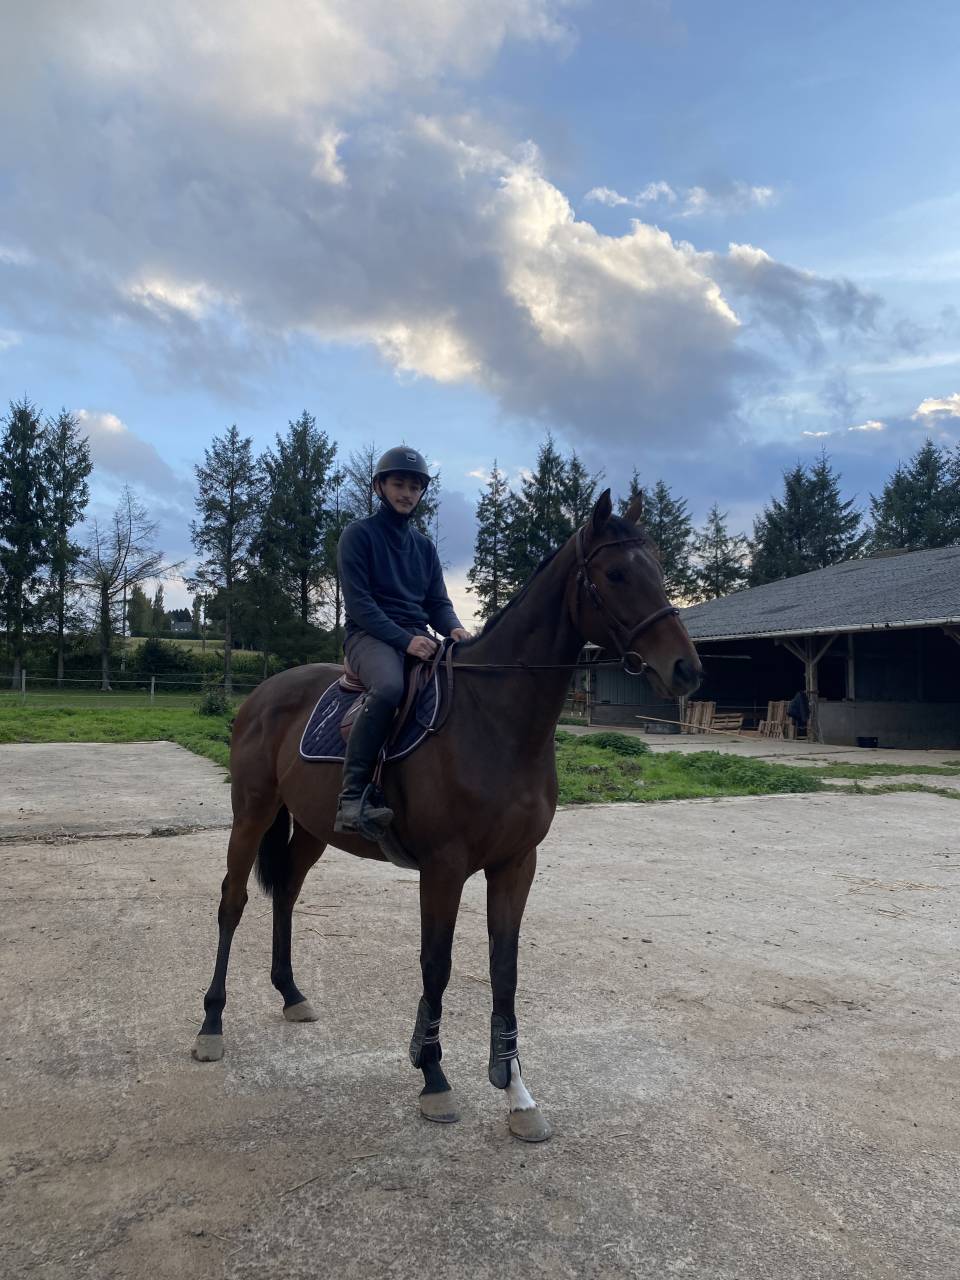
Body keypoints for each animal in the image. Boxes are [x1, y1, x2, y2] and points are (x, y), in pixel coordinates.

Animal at [191, 489, 702, 1142]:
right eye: (615, 574)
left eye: (658, 568)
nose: (687, 669)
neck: (497, 719)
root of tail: (262, 693)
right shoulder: (444, 867)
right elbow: (437, 964)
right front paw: (432, 1076)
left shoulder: (516, 864)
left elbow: (504, 968)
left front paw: (516, 1091)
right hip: (252, 811)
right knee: (232, 901)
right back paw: (210, 1025)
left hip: (310, 828)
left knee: (285, 892)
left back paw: (291, 994)